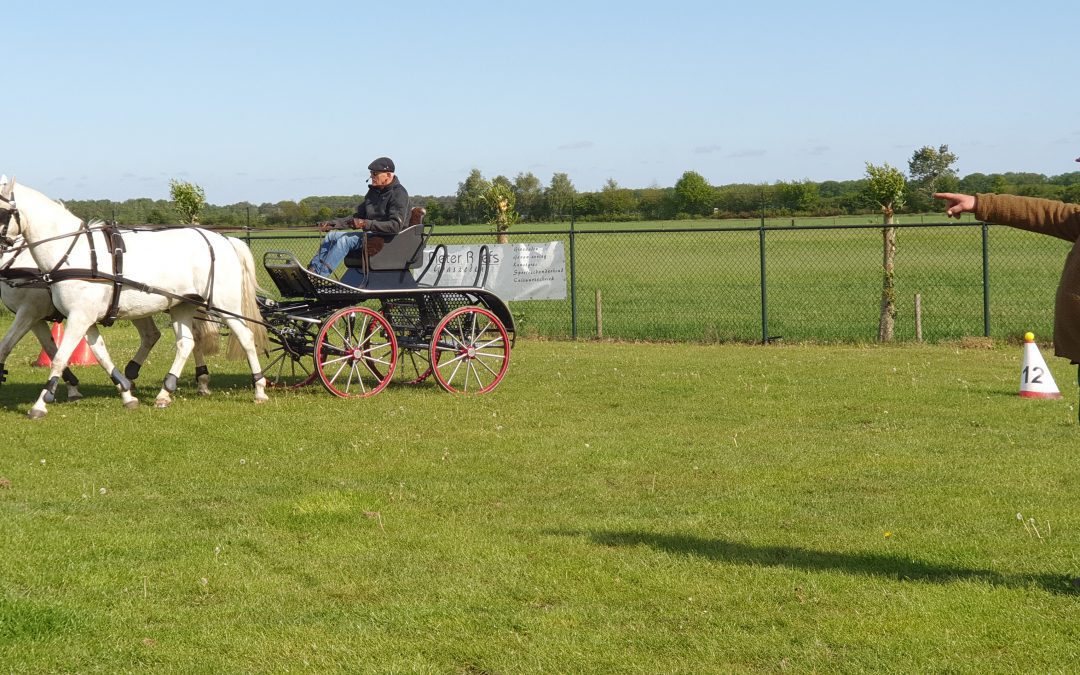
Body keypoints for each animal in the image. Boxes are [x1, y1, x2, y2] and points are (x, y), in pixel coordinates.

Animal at [1, 238, 217, 397]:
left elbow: (8, 345)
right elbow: (51, 349)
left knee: (190, 337)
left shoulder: (30, 311)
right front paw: (72, 386)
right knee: (154, 335)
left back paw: (200, 381)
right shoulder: (36, 317)